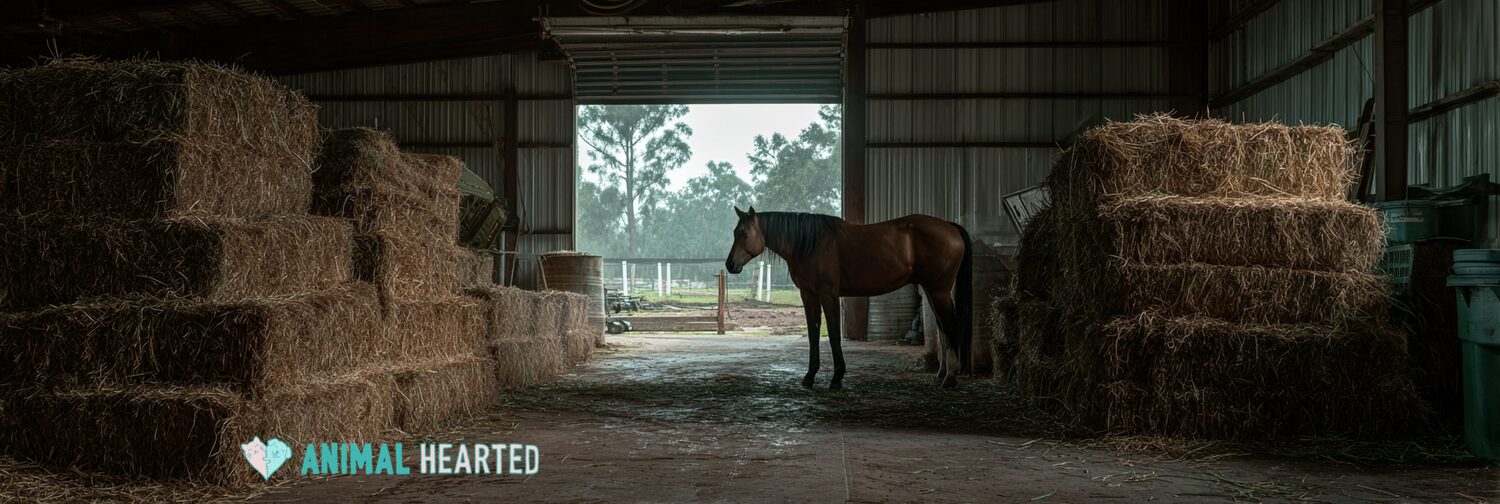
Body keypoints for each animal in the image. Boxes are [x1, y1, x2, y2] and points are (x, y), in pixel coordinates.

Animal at [723, 206, 973, 389]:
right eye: (734, 232)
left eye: (745, 233)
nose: (730, 265)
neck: (810, 244)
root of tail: (950, 227)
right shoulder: (809, 295)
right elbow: (813, 334)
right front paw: (809, 376)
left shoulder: (829, 295)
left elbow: (833, 334)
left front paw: (836, 378)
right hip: (932, 291)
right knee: (942, 328)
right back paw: (941, 374)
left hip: (938, 291)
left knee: (951, 326)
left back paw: (950, 377)